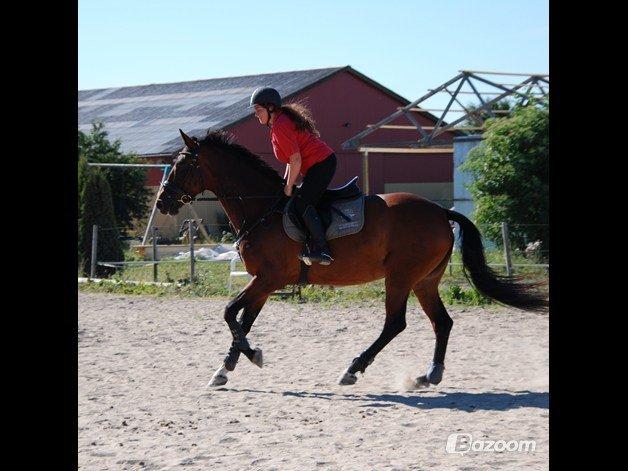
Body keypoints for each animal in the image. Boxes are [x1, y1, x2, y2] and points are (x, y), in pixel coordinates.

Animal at [155, 128, 548, 388]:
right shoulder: (262, 284)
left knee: (395, 324)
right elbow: (242, 322)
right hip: (425, 280)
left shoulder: (269, 279)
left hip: (401, 277)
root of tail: (440, 212)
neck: (262, 208)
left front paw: (251, 357)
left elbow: (229, 314)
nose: (162, 204)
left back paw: (354, 368)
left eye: (181, 167)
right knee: (443, 322)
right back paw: (429, 374)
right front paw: (225, 369)